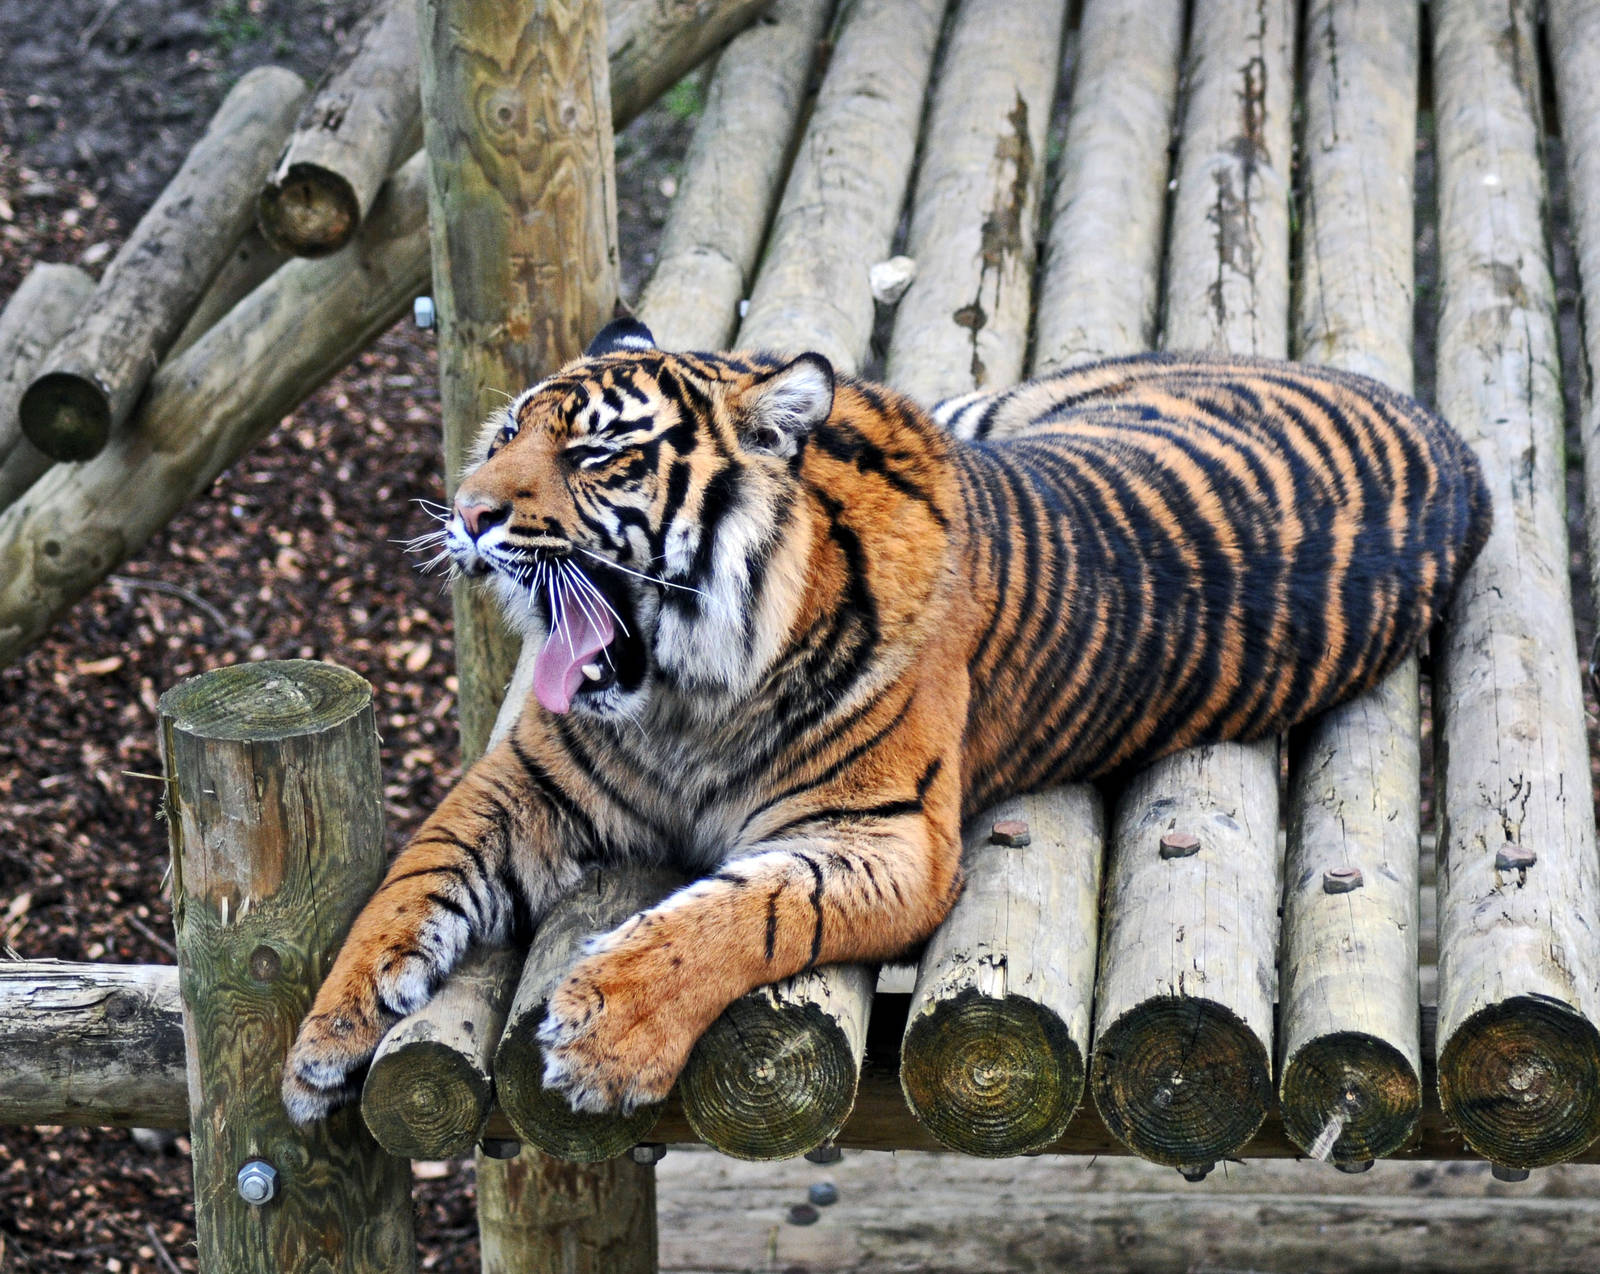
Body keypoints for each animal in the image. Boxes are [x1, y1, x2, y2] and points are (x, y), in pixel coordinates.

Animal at [282, 317, 1490, 1121]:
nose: (469, 513)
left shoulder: (888, 837)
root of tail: (1450, 437)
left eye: (597, 456)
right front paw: (322, 1039)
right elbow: (414, 878)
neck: (686, 696)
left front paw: (606, 1029)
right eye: (503, 434)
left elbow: (745, 912)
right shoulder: (527, 775)